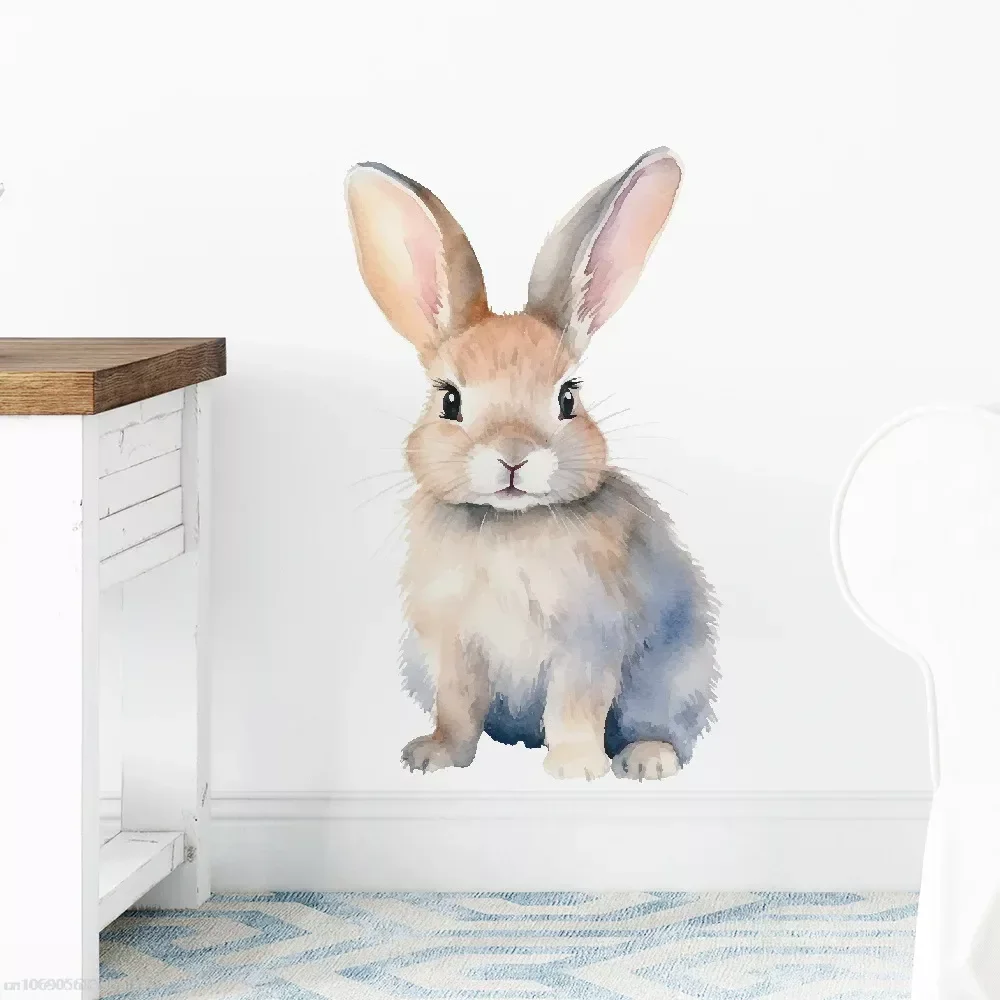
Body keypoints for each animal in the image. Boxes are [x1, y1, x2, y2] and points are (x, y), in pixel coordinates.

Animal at [345, 148, 719, 780]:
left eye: (568, 397)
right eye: (449, 400)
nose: (514, 457)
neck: (507, 524)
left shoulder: (587, 644)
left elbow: (575, 706)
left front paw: (576, 769)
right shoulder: (454, 649)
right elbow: (457, 708)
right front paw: (434, 757)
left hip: (672, 679)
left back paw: (646, 761)